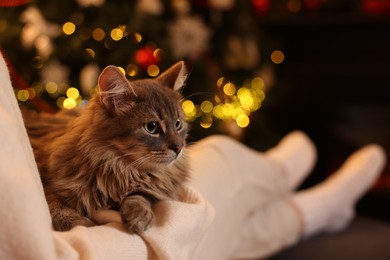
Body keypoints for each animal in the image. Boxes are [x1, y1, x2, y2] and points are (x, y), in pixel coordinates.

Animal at [22, 61, 190, 234]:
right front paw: (84, 225)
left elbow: (140, 196)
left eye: (178, 124)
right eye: (152, 127)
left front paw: (139, 216)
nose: (179, 148)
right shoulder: (49, 187)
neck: (118, 167)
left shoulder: (151, 188)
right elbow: (60, 210)